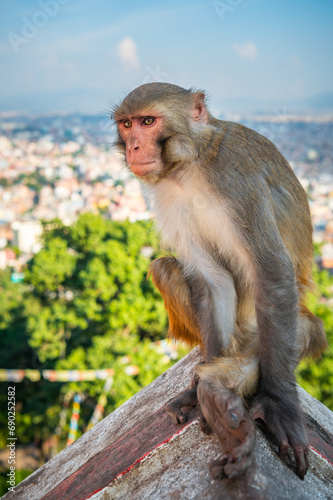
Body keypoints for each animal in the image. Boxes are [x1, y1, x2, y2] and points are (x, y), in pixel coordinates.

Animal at [112, 83, 326, 480]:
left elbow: (271, 271)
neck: (190, 166)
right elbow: (213, 280)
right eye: (127, 124)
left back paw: (222, 394)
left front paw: (279, 404)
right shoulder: (168, 197)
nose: (133, 147)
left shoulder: (236, 181)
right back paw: (211, 391)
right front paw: (198, 393)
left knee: (297, 329)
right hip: (229, 336)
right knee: (166, 268)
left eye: (148, 122)